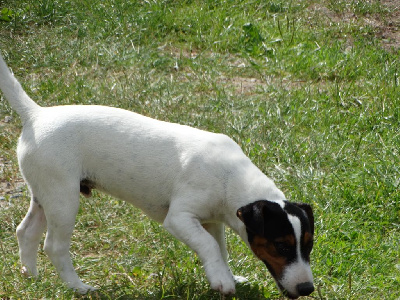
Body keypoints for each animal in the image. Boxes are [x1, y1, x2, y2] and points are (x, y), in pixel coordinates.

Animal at [0, 52, 314, 298]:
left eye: (309, 244)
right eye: (280, 246)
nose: (307, 289)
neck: (230, 177)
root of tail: (36, 115)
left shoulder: (211, 221)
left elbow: (219, 248)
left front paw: (227, 274)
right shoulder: (179, 218)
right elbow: (209, 245)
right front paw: (223, 281)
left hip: (45, 194)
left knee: (25, 231)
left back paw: (32, 276)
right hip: (63, 199)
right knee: (54, 246)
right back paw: (79, 288)